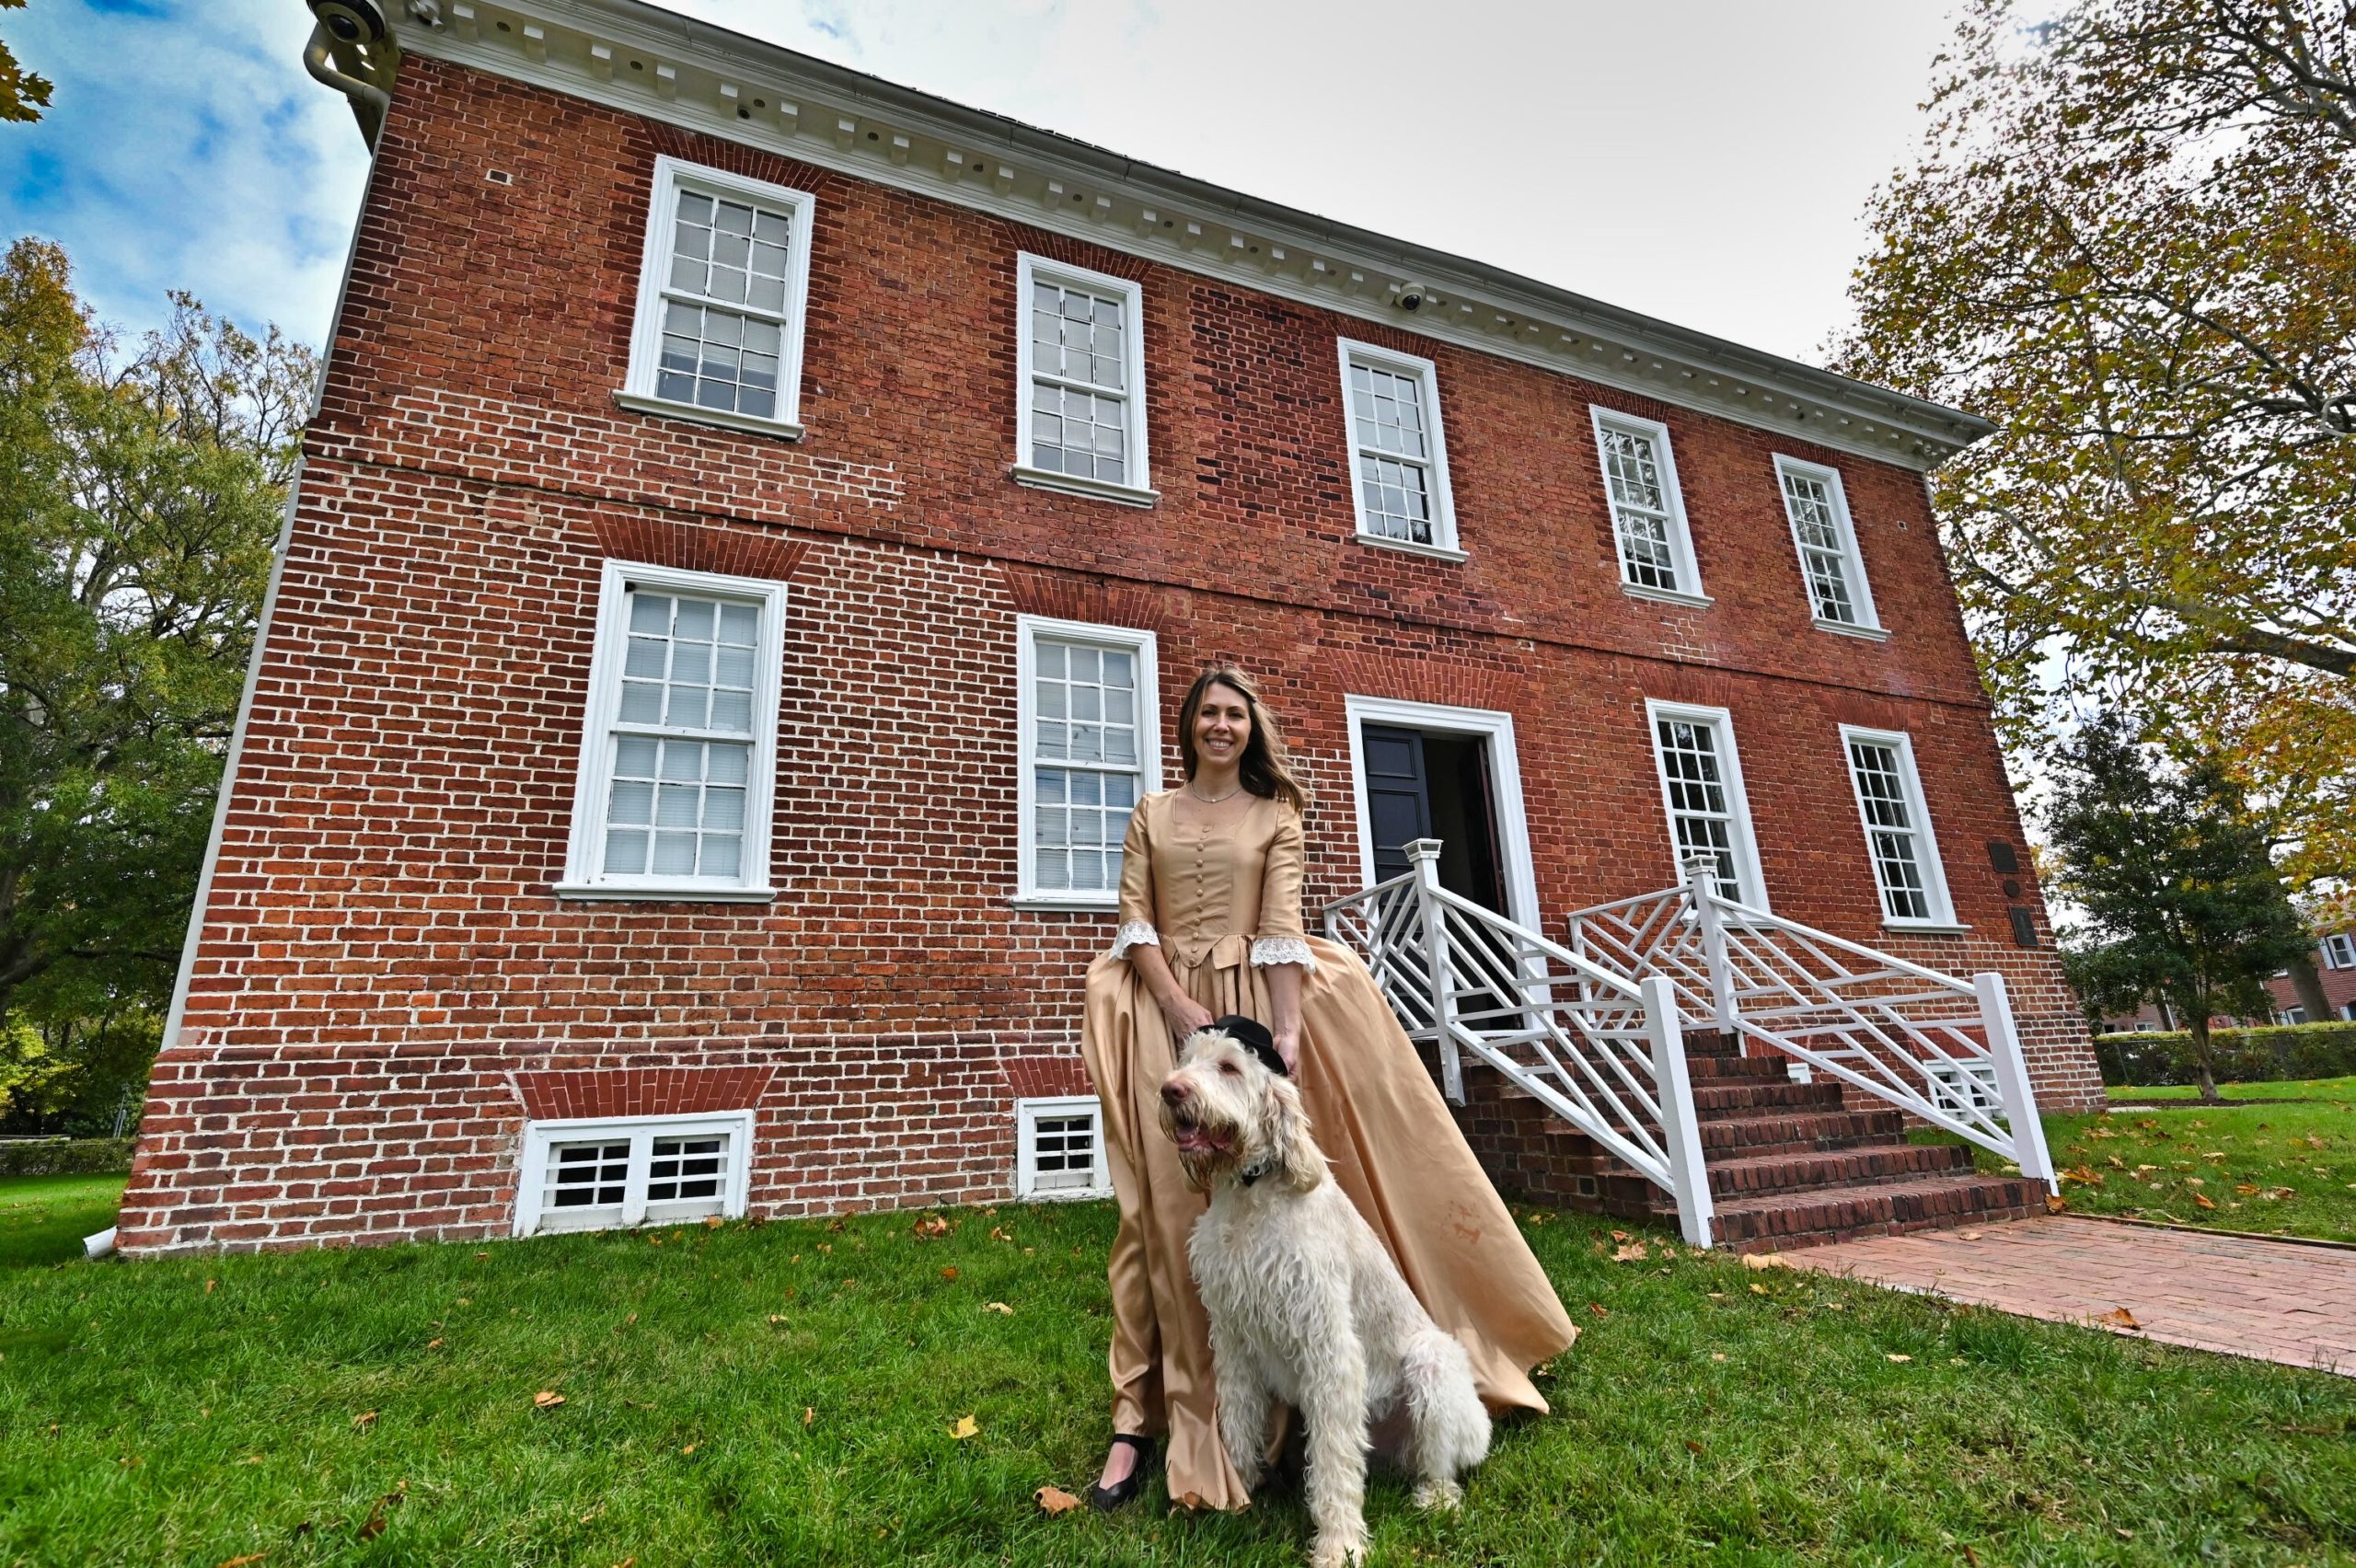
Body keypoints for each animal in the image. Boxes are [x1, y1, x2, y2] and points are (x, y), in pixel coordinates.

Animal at [1159, 1021, 1488, 1553]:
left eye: (1229, 1066)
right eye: (1186, 1060)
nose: (1171, 1090)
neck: (1250, 1197)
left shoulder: (1329, 1345)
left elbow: (1333, 1460)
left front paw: (1340, 1545)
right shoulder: (1231, 1337)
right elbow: (1238, 1418)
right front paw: (1239, 1489)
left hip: (1432, 1362)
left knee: (1438, 1465)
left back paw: (1437, 1499)